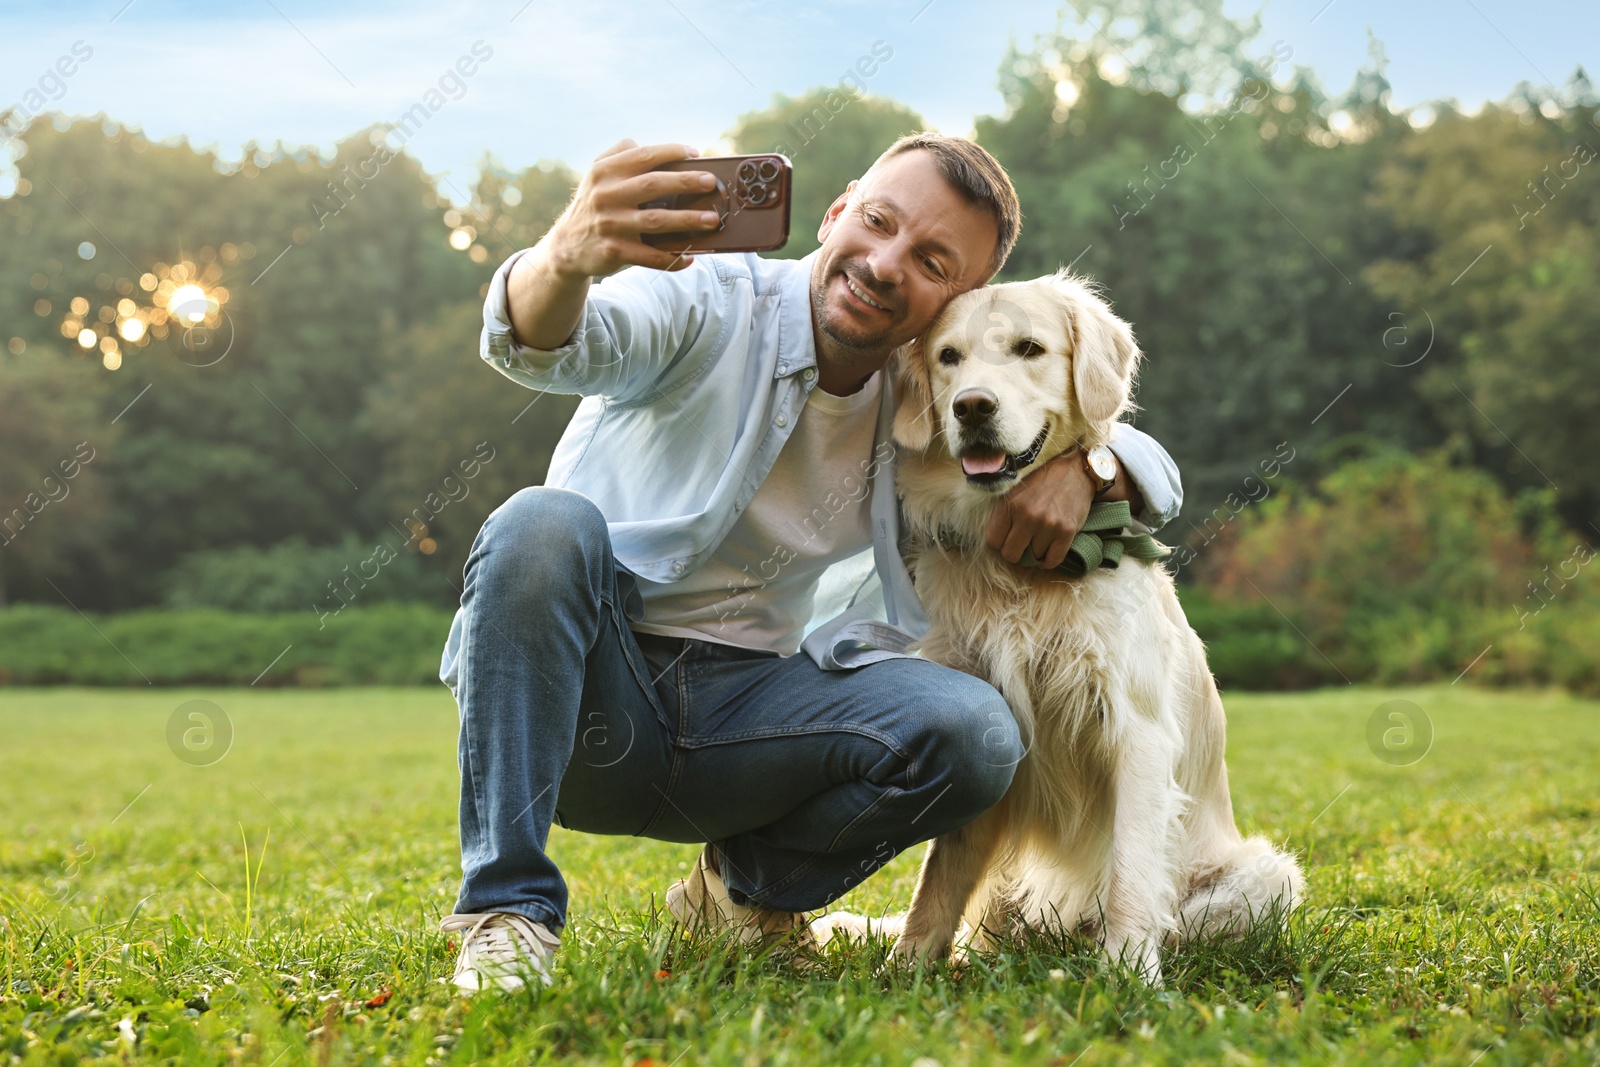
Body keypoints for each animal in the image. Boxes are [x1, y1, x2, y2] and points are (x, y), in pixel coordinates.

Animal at [812, 271, 1299, 991]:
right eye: (948, 358)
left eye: (1029, 348)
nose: (972, 407)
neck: (1016, 564)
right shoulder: (991, 724)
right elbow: (938, 879)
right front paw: (907, 968)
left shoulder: (1137, 729)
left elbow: (1131, 870)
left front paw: (1130, 975)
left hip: (1266, 877)